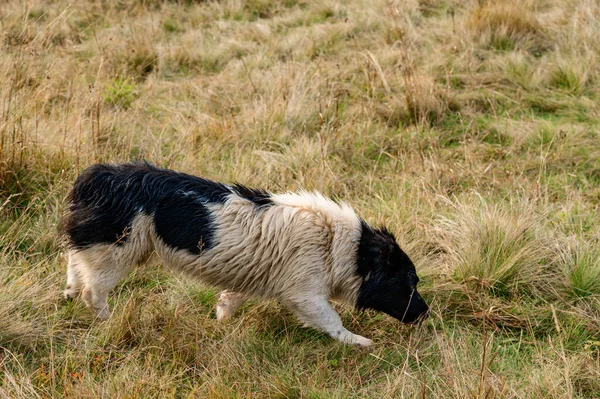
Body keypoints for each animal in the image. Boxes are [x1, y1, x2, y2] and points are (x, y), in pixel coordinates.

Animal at [63, 162, 428, 346]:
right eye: (408, 283)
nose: (426, 313)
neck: (347, 249)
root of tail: (95, 176)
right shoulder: (304, 294)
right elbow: (332, 321)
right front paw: (360, 342)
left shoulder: (252, 279)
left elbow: (228, 300)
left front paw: (220, 322)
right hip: (117, 251)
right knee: (93, 291)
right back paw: (108, 321)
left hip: (104, 246)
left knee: (73, 259)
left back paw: (68, 291)